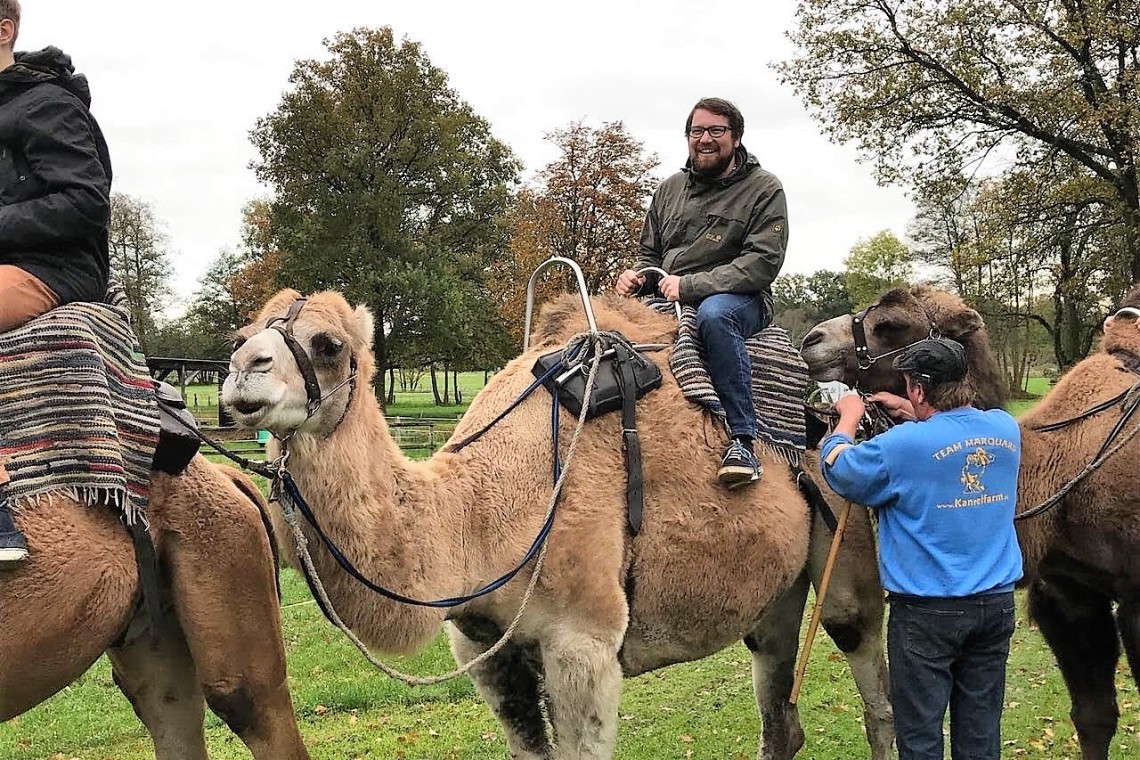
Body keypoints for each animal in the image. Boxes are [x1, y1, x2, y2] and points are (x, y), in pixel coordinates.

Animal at [222, 289, 829, 760]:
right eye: (241, 334)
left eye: (328, 345)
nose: (242, 372)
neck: (473, 515)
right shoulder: (483, 647)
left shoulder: (584, 641)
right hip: (777, 592)